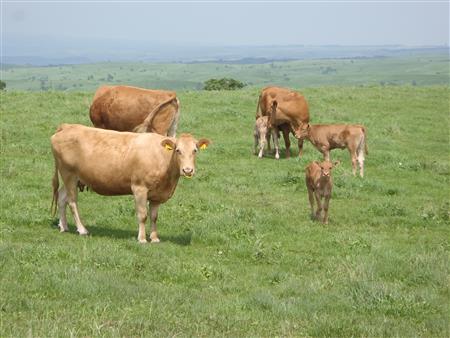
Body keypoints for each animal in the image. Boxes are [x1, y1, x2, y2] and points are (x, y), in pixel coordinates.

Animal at [51, 124, 211, 243]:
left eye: (195, 150)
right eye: (178, 150)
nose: (188, 170)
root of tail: (66, 126)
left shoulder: (157, 194)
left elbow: (154, 216)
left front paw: (154, 238)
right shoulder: (139, 188)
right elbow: (143, 215)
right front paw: (142, 239)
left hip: (74, 178)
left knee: (62, 198)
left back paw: (63, 226)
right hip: (69, 174)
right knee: (72, 201)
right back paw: (82, 230)